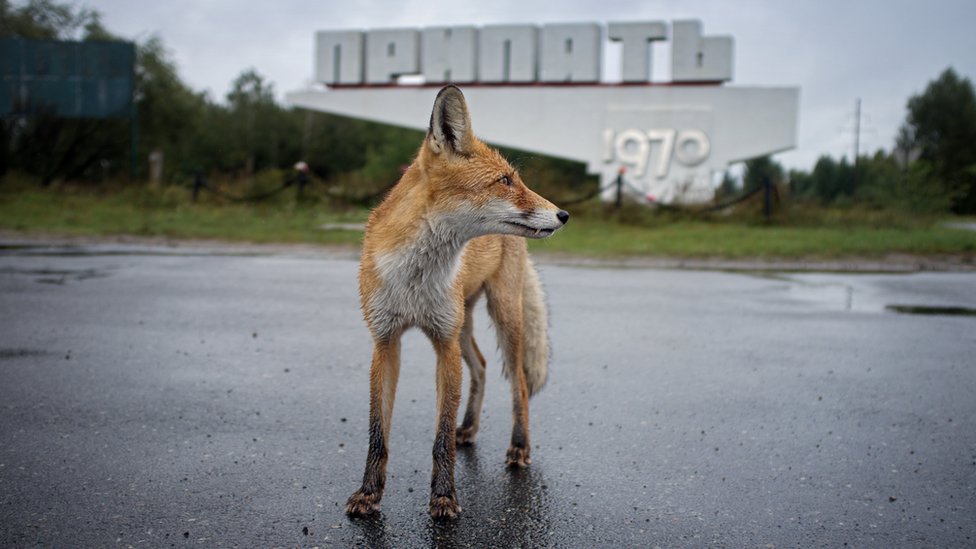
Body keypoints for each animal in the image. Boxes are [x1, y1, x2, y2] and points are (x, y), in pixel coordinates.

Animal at [346, 85, 568, 520]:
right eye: (505, 180)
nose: (563, 214)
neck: (415, 277)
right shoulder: (385, 341)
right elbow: (378, 432)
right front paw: (369, 494)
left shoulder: (443, 344)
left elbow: (440, 436)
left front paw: (444, 498)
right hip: (463, 323)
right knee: (481, 366)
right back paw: (470, 427)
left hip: (502, 314)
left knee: (517, 382)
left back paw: (519, 447)